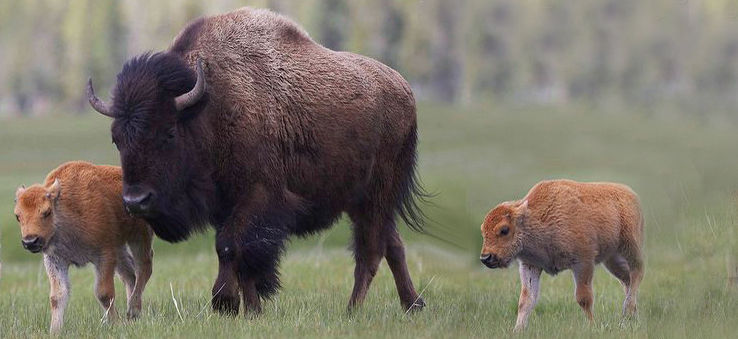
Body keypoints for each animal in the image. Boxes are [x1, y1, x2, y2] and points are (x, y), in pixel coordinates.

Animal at [13, 161, 152, 332]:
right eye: (18, 216)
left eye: (47, 212)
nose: (30, 241)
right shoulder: (55, 260)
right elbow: (57, 296)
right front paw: (55, 331)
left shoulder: (104, 255)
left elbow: (103, 293)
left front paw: (113, 323)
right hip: (120, 248)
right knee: (129, 275)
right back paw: (132, 315)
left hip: (139, 236)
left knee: (144, 268)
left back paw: (133, 310)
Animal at [87, 7, 428, 316]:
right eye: (116, 137)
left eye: (168, 132)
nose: (136, 201)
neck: (208, 106)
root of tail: (405, 90)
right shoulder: (226, 205)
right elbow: (239, 258)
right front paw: (251, 310)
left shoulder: (258, 197)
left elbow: (230, 247)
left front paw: (224, 302)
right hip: (362, 202)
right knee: (393, 245)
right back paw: (412, 304)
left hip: (375, 197)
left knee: (370, 252)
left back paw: (353, 310)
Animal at [478, 181, 644, 332]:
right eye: (483, 231)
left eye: (504, 230)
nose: (486, 258)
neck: (534, 217)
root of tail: (631, 195)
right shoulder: (530, 265)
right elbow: (526, 300)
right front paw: (518, 330)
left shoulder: (583, 262)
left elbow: (583, 298)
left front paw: (592, 326)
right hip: (612, 260)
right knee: (626, 280)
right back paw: (632, 316)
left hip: (630, 248)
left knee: (637, 273)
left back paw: (627, 310)